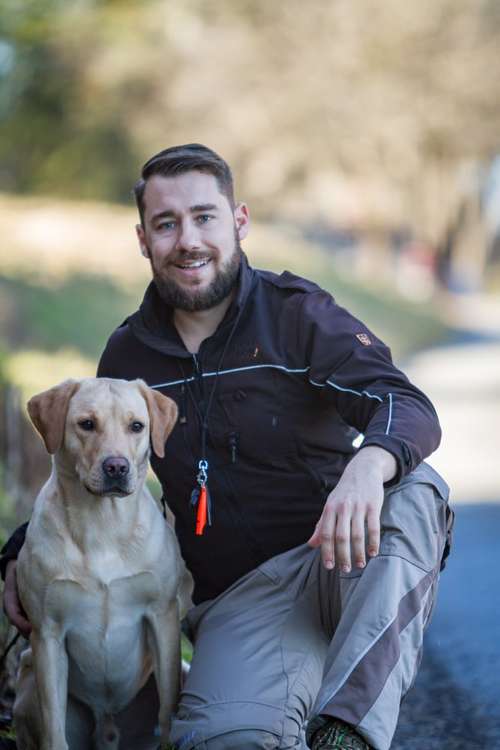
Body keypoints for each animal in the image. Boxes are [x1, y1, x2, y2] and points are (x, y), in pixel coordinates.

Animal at [13, 378, 186, 750]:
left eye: (136, 426)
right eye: (87, 424)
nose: (116, 466)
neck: (102, 524)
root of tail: (107, 730)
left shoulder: (163, 615)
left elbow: (169, 708)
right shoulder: (47, 634)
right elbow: (54, 731)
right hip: (28, 677)